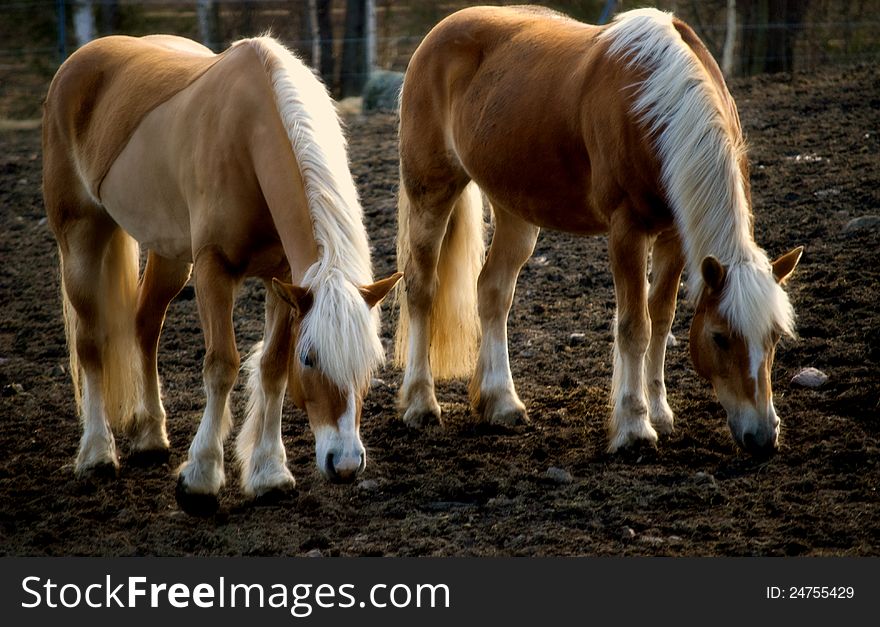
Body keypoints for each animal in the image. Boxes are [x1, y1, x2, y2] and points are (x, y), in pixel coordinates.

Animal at [41, 33, 398, 516]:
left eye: (371, 363)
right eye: (310, 358)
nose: (343, 464)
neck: (248, 136)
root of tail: (80, 59)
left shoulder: (283, 279)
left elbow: (271, 368)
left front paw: (269, 473)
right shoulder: (213, 269)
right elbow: (221, 365)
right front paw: (200, 478)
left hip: (170, 255)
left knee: (145, 326)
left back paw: (150, 436)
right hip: (81, 238)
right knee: (91, 341)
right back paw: (97, 452)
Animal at [398, 4, 804, 456]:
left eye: (774, 337)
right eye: (719, 337)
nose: (763, 435)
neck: (654, 106)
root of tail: (440, 32)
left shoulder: (673, 236)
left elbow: (661, 319)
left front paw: (659, 413)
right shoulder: (627, 230)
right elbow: (634, 327)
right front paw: (634, 426)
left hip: (515, 210)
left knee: (493, 292)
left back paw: (501, 402)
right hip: (431, 193)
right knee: (421, 288)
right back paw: (420, 403)